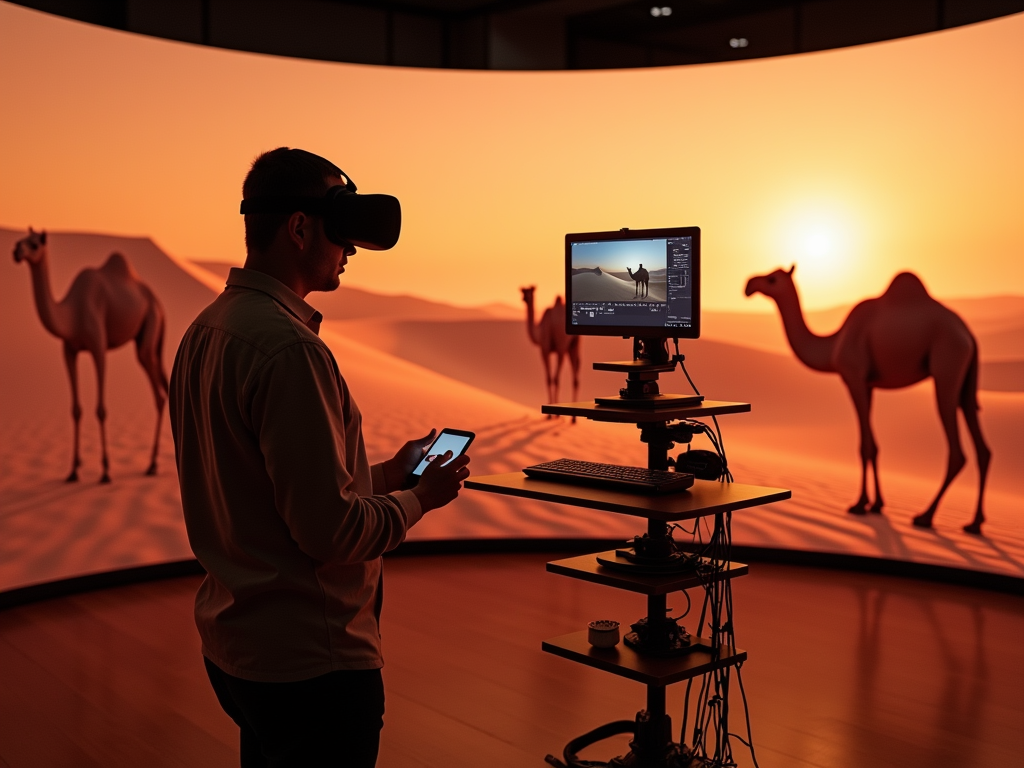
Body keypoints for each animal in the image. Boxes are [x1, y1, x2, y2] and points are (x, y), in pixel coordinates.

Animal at [12, 225, 168, 483]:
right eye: (22, 239)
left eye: (35, 244)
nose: (16, 251)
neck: (71, 313)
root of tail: (157, 301)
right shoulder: (69, 350)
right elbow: (75, 409)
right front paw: (73, 470)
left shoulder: (98, 346)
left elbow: (101, 409)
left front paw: (105, 471)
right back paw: (152, 464)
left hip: (150, 325)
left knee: (159, 391)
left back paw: (152, 464)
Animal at [520, 288, 577, 421]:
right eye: (523, 292)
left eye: (530, 292)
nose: (524, 298)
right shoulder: (548, 351)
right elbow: (549, 378)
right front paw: (550, 414)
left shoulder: (544, 350)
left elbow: (551, 379)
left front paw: (552, 414)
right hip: (572, 345)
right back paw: (573, 418)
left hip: (563, 345)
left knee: (560, 377)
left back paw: (566, 416)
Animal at [745, 268, 991, 536]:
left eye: (772, 279)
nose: (749, 285)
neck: (833, 344)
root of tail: (969, 335)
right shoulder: (869, 384)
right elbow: (874, 446)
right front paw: (877, 505)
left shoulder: (854, 377)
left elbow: (865, 446)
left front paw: (860, 504)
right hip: (966, 381)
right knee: (982, 446)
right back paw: (974, 524)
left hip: (947, 364)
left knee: (957, 450)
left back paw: (925, 517)